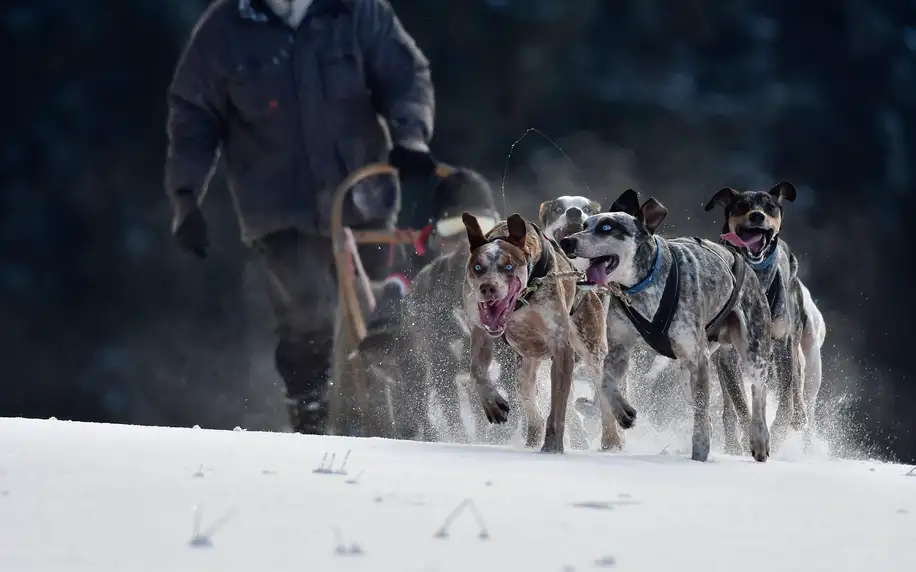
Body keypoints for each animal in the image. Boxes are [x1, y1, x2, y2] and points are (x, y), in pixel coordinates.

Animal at [462, 212, 620, 454]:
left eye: (509, 267)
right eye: (478, 267)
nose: (487, 288)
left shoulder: (561, 348)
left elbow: (558, 408)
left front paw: (553, 445)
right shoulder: (481, 332)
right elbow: (477, 372)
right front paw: (493, 404)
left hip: (592, 350)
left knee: (604, 396)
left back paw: (612, 440)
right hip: (525, 367)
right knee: (528, 398)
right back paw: (532, 438)